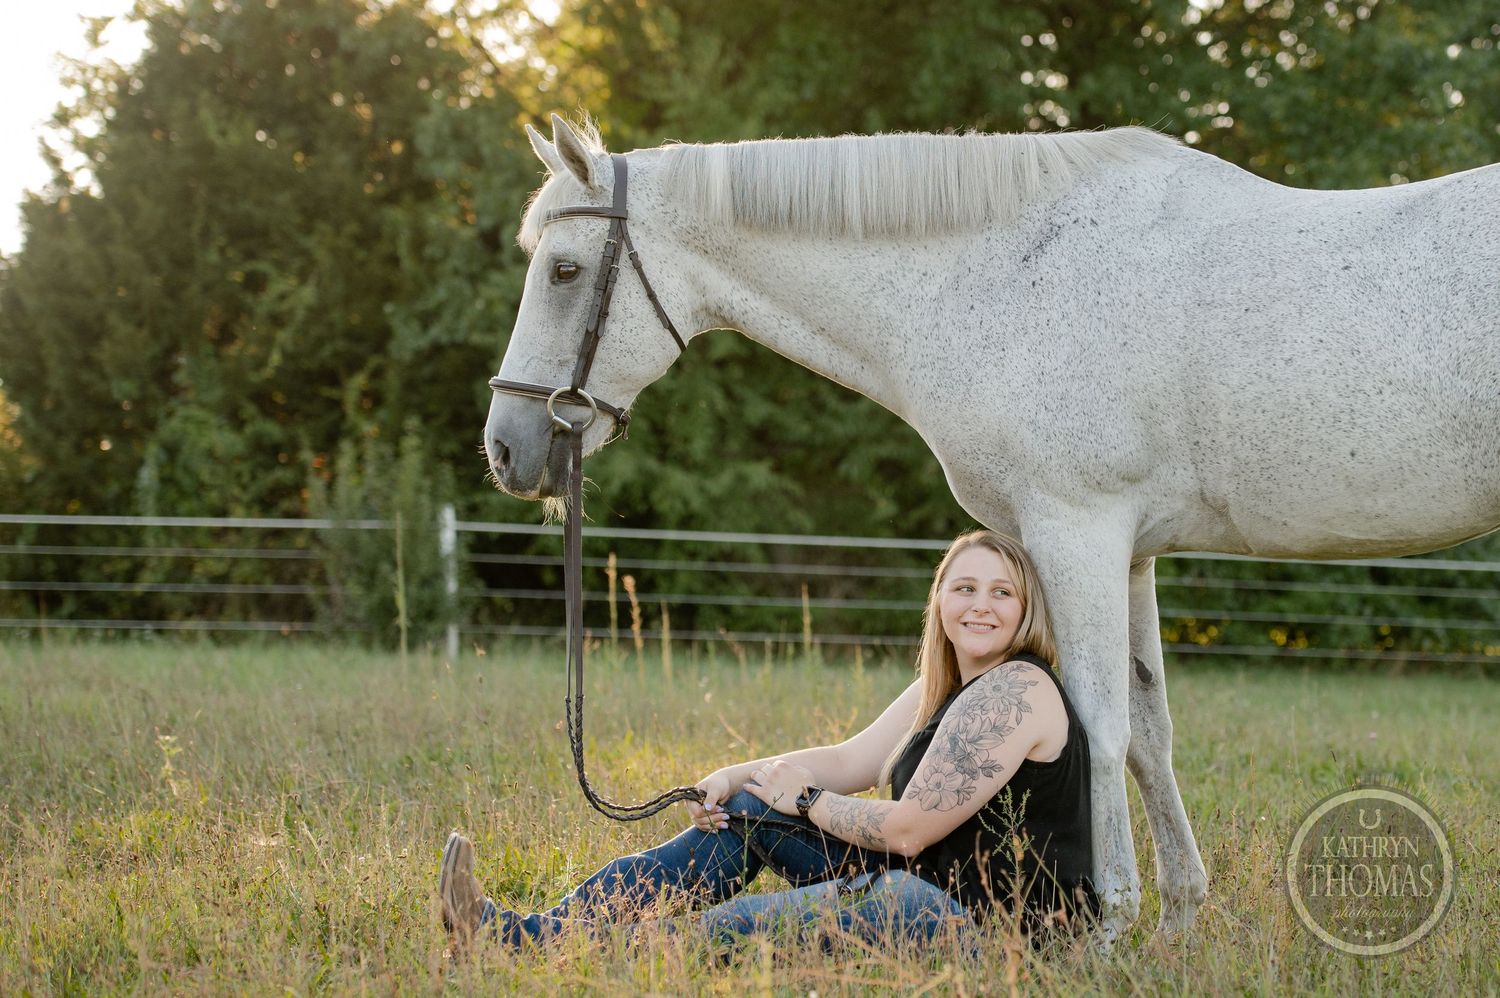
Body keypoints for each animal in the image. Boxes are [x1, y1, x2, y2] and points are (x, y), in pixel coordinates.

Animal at [483, 113, 1500, 942]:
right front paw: (1176, 923)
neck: (1008, 277)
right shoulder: (1126, 553)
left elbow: (1098, 727)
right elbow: (1150, 729)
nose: (506, 447)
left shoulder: (1076, 530)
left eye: (565, 270)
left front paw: (1109, 923)